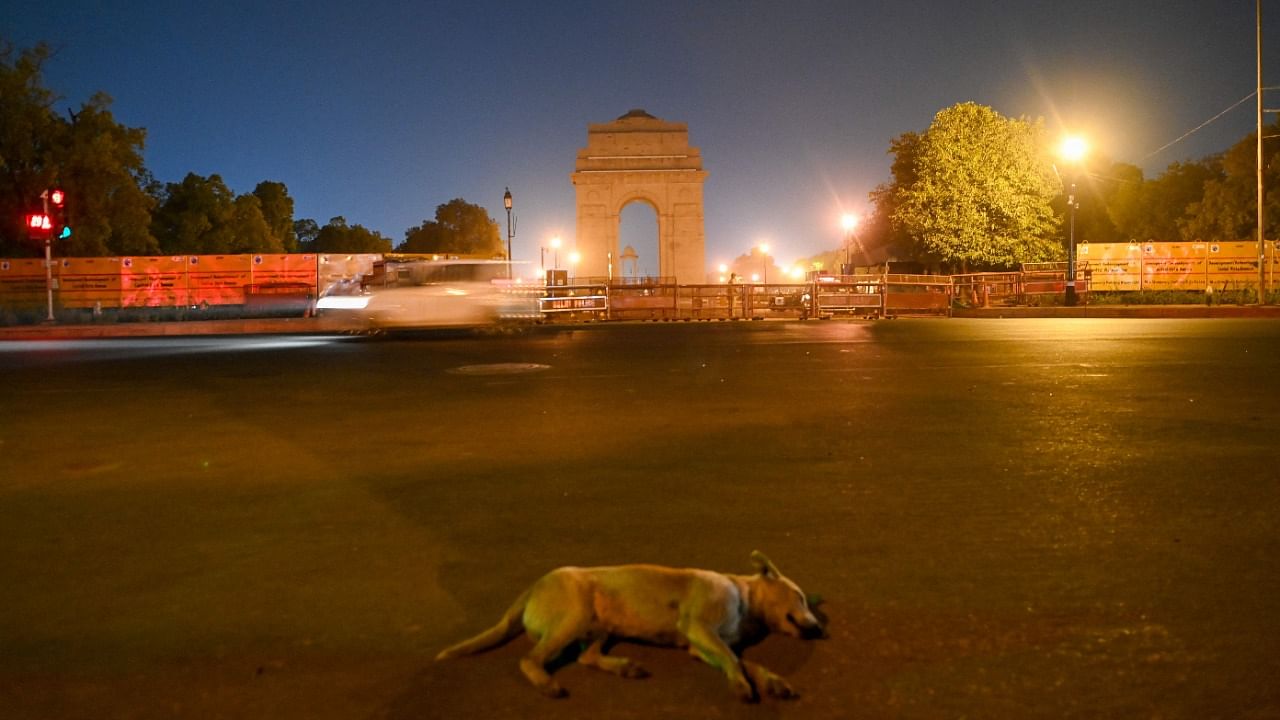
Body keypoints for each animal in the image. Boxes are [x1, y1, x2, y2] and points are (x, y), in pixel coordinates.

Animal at [435, 550, 824, 696]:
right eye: (800, 597)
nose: (820, 628)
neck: (744, 598)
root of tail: (533, 586)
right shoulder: (699, 629)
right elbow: (733, 660)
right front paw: (742, 684)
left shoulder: (701, 646)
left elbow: (745, 662)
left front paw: (770, 680)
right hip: (575, 613)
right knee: (530, 659)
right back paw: (547, 683)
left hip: (600, 627)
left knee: (586, 656)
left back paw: (623, 666)